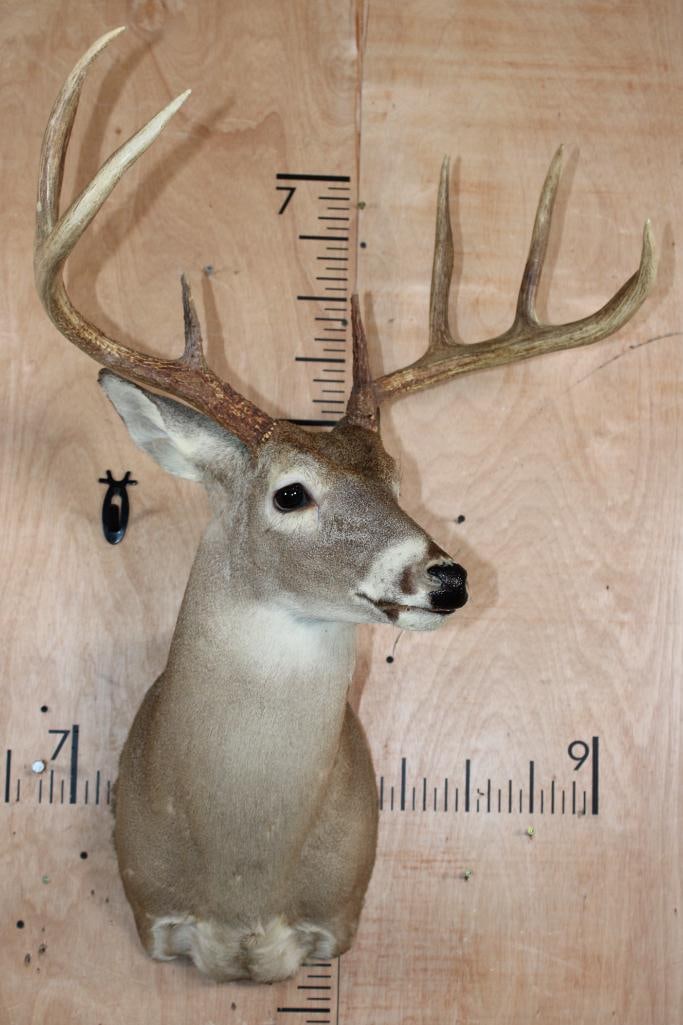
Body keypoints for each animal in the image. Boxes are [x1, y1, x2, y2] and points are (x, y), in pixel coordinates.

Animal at [34, 28, 656, 983]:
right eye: (290, 491)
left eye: (395, 474)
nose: (446, 579)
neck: (241, 876)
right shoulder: (152, 912)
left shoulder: (336, 917)